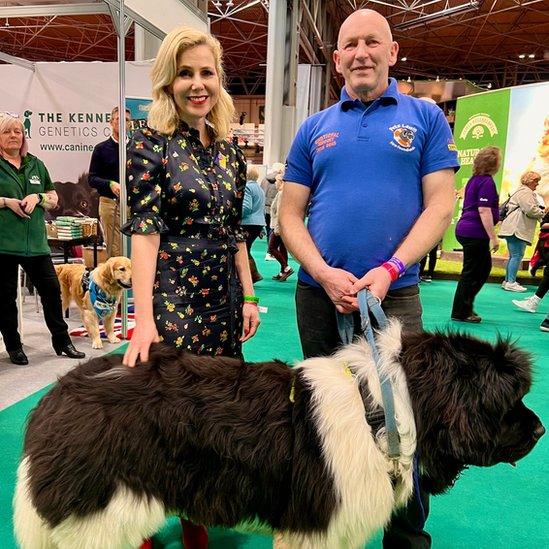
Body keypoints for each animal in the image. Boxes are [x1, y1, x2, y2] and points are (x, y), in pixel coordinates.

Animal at [13, 322, 544, 548]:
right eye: (506, 399)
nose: (541, 428)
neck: (380, 413)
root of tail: (57, 395)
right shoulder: (315, 527)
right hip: (99, 513)